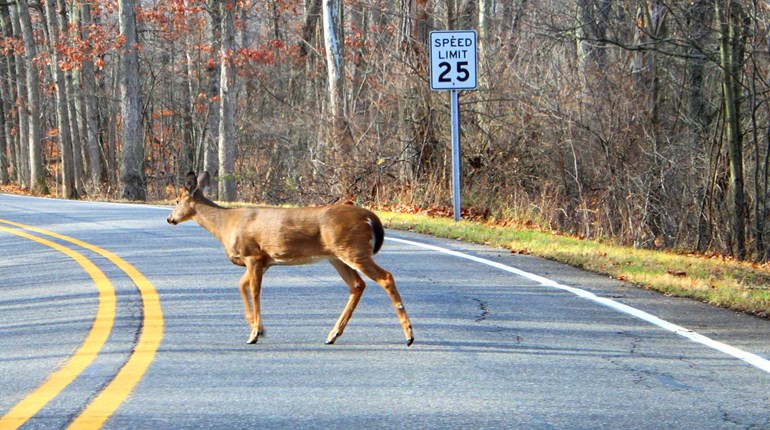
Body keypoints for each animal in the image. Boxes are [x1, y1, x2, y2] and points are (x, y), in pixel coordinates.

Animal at [167, 171, 414, 346]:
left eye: (177, 201)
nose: (170, 219)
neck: (225, 225)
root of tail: (370, 216)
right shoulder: (263, 261)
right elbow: (241, 286)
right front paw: (258, 328)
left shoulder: (252, 254)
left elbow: (254, 291)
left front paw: (254, 333)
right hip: (337, 256)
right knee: (357, 285)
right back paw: (333, 334)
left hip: (354, 250)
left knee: (385, 277)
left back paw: (409, 335)